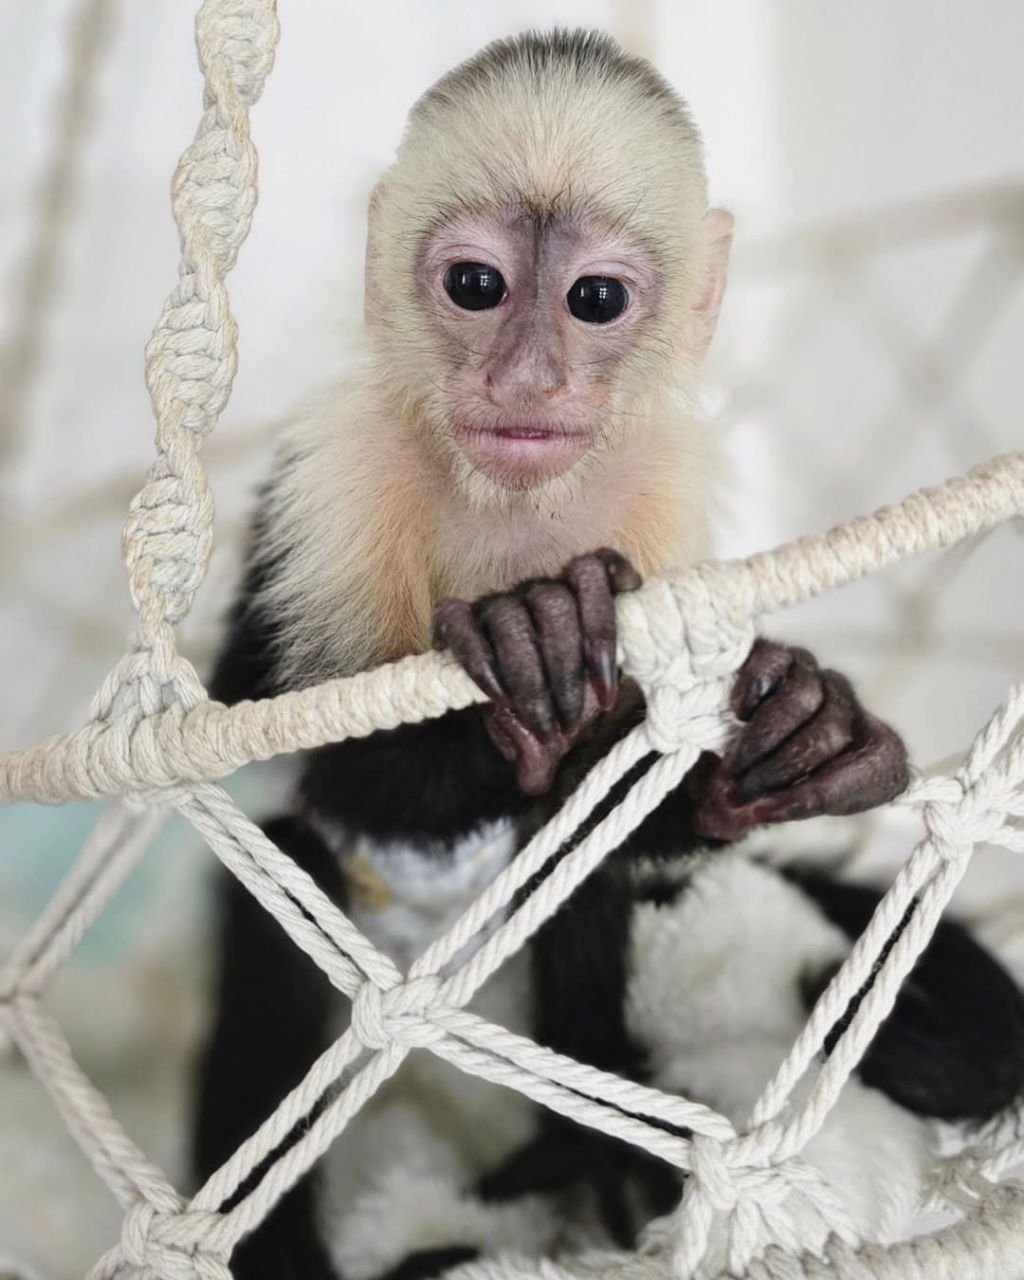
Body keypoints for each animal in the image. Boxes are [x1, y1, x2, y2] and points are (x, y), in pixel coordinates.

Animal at [191, 29, 1024, 1280]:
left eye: (593, 299)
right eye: (475, 285)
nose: (527, 380)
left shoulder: (658, 499)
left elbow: (639, 814)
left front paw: (806, 728)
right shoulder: (335, 489)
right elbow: (313, 755)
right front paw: (521, 643)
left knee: (577, 879)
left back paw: (585, 1144)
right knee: (285, 918)